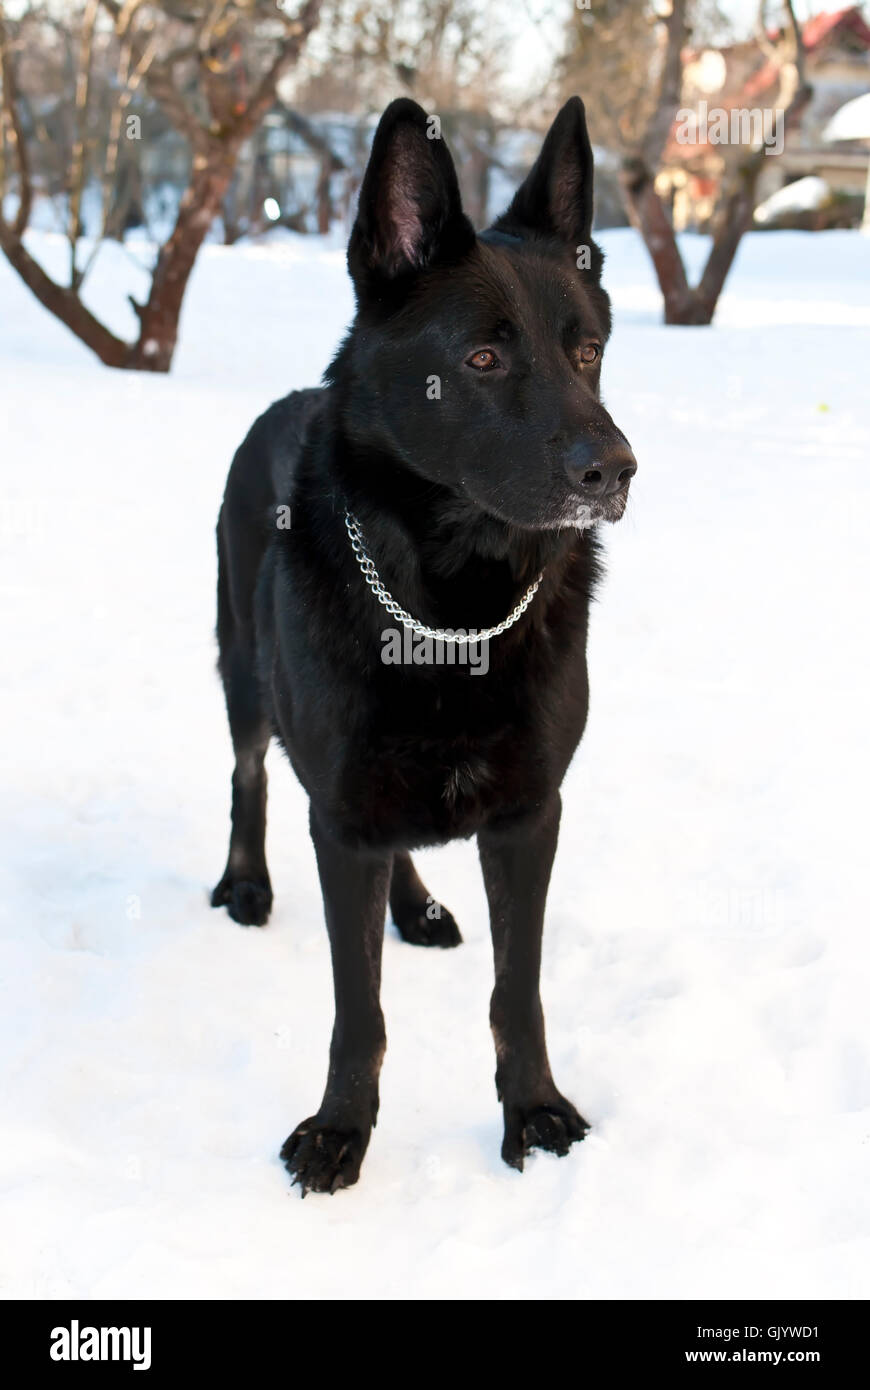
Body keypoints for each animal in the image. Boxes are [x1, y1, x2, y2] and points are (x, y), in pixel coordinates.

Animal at [209, 95, 630, 1195]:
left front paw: (535, 1111)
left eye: (586, 352)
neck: (448, 610)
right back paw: (245, 882)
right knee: (248, 772)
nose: (616, 470)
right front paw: (340, 1129)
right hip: (243, 671)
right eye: (481, 359)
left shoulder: (529, 815)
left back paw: (417, 908)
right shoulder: (343, 819)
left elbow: (517, 990)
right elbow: (358, 1006)